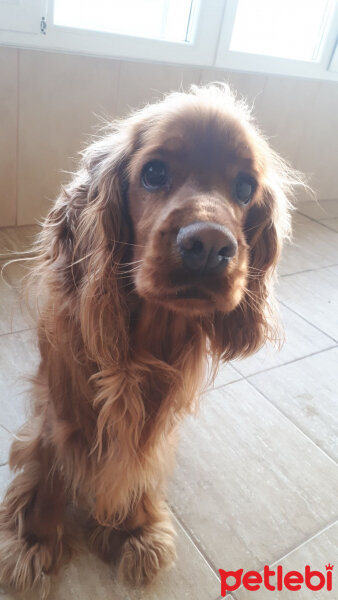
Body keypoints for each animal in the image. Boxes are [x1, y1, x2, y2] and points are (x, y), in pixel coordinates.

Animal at [0, 84, 302, 596]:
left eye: (245, 188)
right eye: (154, 172)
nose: (209, 245)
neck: (144, 338)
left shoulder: (158, 405)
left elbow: (138, 460)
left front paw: (134, 526)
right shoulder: (63, 401)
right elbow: (53, 464)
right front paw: (34, 538)